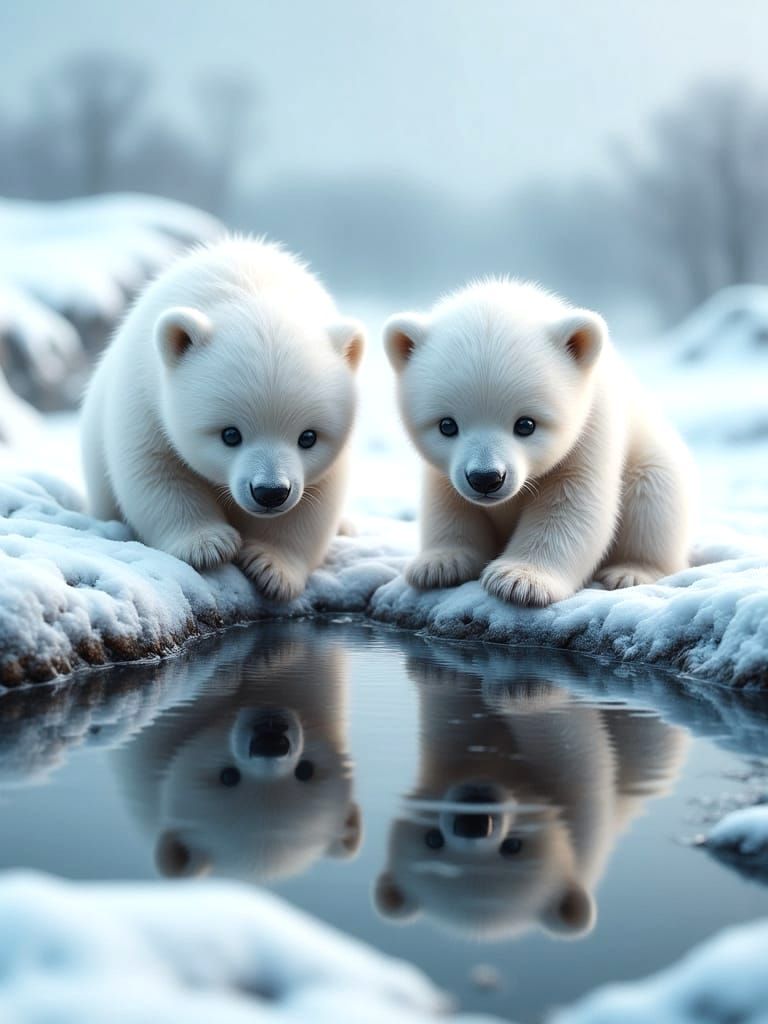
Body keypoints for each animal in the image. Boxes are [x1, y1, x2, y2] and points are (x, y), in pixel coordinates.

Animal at [81, 237, 365, 601]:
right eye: (230, 434)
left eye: (308, 437)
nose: (270, 492)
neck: (250, 288)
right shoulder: (144, 393)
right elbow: (156, 469)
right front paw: (209, 545)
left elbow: (314, 503)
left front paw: (270, 566)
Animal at [374, 640, 687, 939]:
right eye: (432, 839)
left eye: (514, 846)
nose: (473, 820)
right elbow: (451, 720)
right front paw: (440, 672)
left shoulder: (584, 817)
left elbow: (575, 744)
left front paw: (520, 692)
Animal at [383, 279, 694, 606]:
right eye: (447, 425)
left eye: (526, 424)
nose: (485, 478)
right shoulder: (444, 470)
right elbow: (447, 501)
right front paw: (439, 564)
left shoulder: (591, 427)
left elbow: (571, 500)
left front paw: (517, 580)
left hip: (653, 458)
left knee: (653, 495)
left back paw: (631, 571)